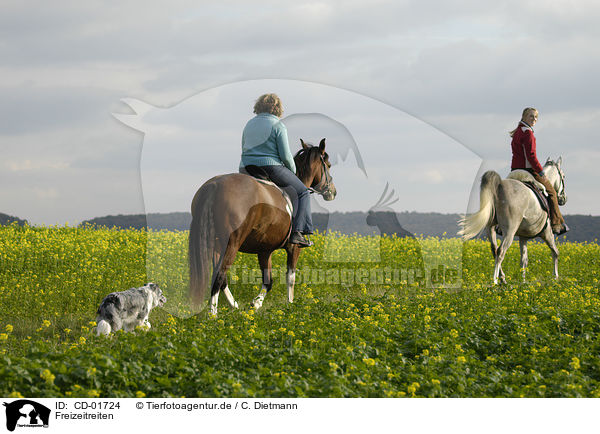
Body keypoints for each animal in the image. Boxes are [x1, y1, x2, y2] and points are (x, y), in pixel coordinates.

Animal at [189, 139, 336, 316]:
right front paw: (288, 305)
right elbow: (290, 277)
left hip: (217, 245)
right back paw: (213, 315)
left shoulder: (265, 250)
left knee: (221, 279)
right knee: (219, 276)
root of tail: (214, 186)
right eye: (328, 165)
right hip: (231, 243)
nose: (332, 192)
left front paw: (255, 304)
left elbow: (268, 281)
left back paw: (234, 306)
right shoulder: (294, 248)